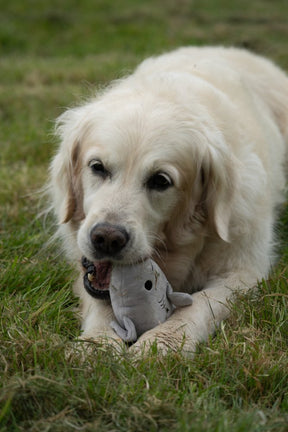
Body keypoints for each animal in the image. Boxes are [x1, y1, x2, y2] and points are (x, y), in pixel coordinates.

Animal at [47, 47, 288, 354]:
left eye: (160, 181)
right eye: (97, 167)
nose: (107, 239)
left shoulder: (242, 272)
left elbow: (200, 304)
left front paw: (160, 345)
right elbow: (101, 305)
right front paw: (95, 345)